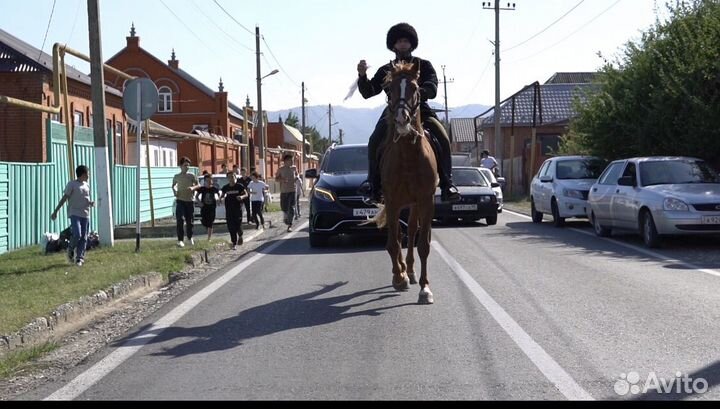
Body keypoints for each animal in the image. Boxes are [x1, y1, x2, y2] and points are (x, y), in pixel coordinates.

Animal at [368, 60, 436, 302]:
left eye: (416, 88)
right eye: (389, 89)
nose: (401, 119)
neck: (408, 156)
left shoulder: (426, 200)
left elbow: (423, 244)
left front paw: (425, 288)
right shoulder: (392, 201)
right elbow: (392, 243)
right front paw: (399, 277)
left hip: (414, 204)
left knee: (413, 231)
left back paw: (412, 271)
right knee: (398, 236)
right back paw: (403, 273)